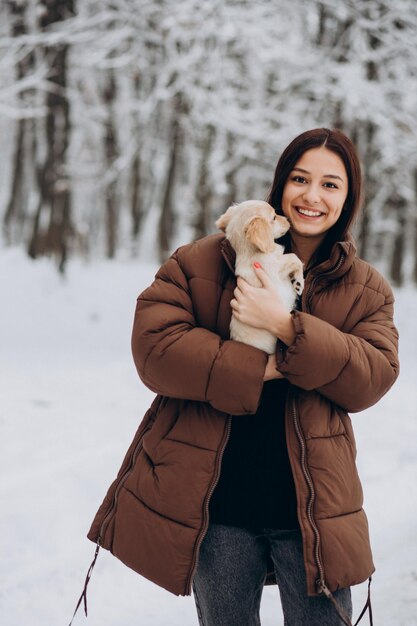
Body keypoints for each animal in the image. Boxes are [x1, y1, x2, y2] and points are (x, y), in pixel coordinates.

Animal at [214, 200, 302, 356]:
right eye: (274, 217)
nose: (288, 219)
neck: (252, 253)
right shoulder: (276, 268)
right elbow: (294, 257)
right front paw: (299, 283)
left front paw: (297, 280)